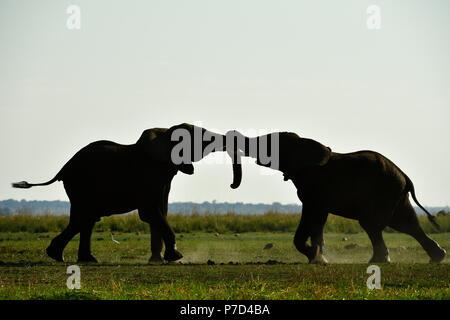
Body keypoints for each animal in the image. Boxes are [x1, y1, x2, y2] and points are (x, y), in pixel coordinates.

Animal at [12, 122, 243, 262]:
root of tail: (63, 167)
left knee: (86, 219)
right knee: (84, 218)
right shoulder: (149, 174)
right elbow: (151, 212)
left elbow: (159, 212)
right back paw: (58, 256)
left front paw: (157, 260)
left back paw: (79, 258)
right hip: (80, 185)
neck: (164, 132)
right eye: (201, 139)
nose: (232, 185)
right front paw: (175, 257)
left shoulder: (163, 177)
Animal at [229, 129, 446, 264]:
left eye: (270, 144)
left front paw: (316, 257)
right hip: (395, 196)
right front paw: (318, 257)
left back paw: (379, 260)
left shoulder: (314, 190)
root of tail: (405, 176)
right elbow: (317, 221)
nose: (232, 135)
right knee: (407, 224)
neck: (303, 143)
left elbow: (312, 217)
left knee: (375, 226)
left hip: (384, 192)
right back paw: (437, 257)